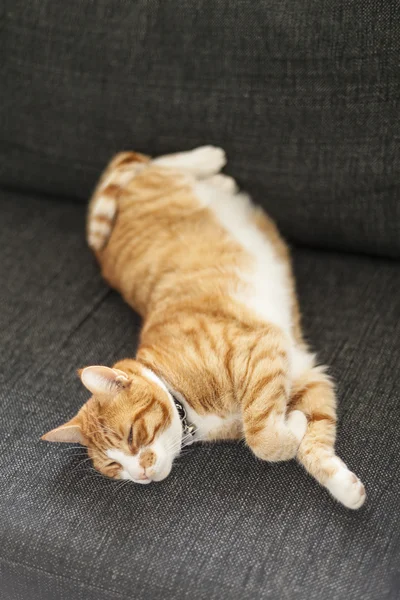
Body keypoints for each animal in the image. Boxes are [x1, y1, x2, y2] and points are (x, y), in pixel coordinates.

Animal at [43, 145, 366, 506]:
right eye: (114, 466)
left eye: (131, 436)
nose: (140, 475)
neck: (182, 401)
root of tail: (101, 252)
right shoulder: (305, 376)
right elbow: (307, 438)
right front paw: (344, 486)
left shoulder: (260, 351)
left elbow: (264, 440)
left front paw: (292, 429)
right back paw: (218, 178)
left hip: (150, 181)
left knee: (150, 165)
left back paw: (209, 160)